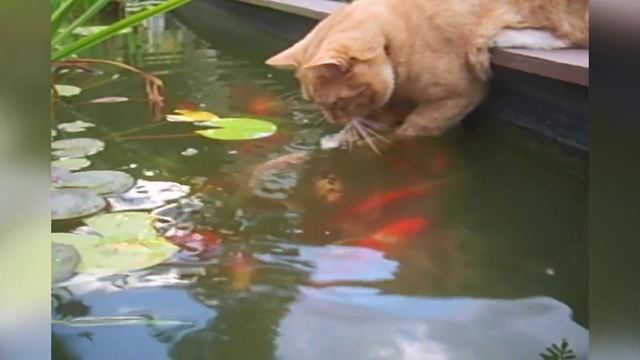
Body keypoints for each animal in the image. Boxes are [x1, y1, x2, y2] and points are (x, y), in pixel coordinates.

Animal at [264, 0, 592, 138]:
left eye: (337, 102)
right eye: (317, 103)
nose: (332, 119)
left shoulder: (458, 96)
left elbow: (411, 131)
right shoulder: (392, 102)